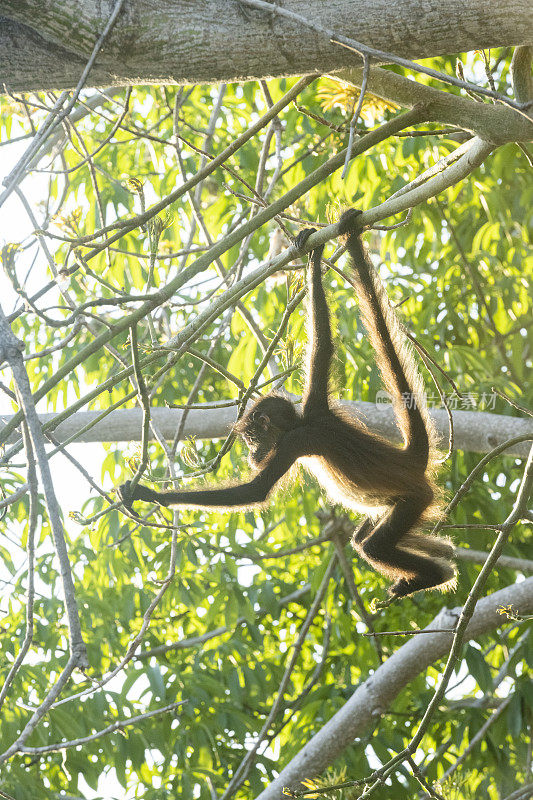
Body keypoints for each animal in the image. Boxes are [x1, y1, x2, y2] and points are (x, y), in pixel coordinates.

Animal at [118, 209, 456, 596]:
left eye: (252, 438)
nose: (252, 455)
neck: (303, 421)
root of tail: (410, 462)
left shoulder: (296, 440)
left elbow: (255, 491)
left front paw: (148, 494)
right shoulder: (315, 401)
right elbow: (323, 344)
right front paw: (313, 258)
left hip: (414, 498)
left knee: (373, 545)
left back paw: (433, 575)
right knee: (366, 539)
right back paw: (444, 560)